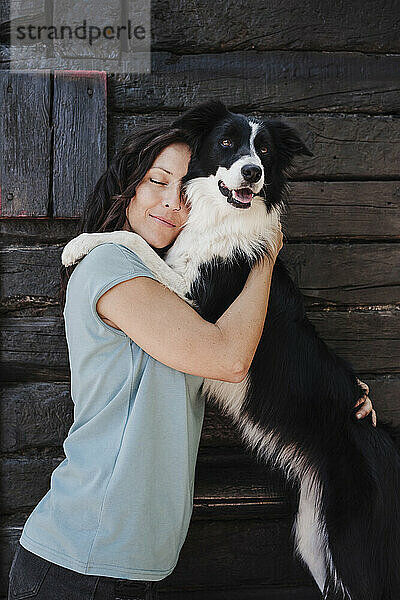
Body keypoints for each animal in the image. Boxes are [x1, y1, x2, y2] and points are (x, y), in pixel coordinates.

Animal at [62, 101, 400, 596]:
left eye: (265, 150)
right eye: (227, 142)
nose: (252, 171)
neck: (222, 219)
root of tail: (383, 444)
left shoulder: (195, 303)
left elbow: (136, 240)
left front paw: (78, 244)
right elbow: (144, 242)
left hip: (353, 546)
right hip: (314, 538)